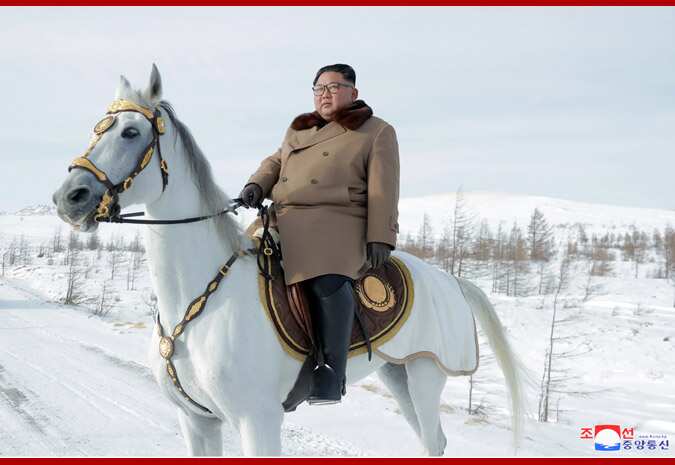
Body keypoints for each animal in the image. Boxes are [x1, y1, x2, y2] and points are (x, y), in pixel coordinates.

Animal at [52, 65, 525, 456]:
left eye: (130, 133)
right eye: (97, 128)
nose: (69, 198)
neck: (196, 299)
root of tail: (451, 281)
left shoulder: (257, 421)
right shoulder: (197, 421)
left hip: (426, 375)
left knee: (432, 441)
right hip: (398, 375)